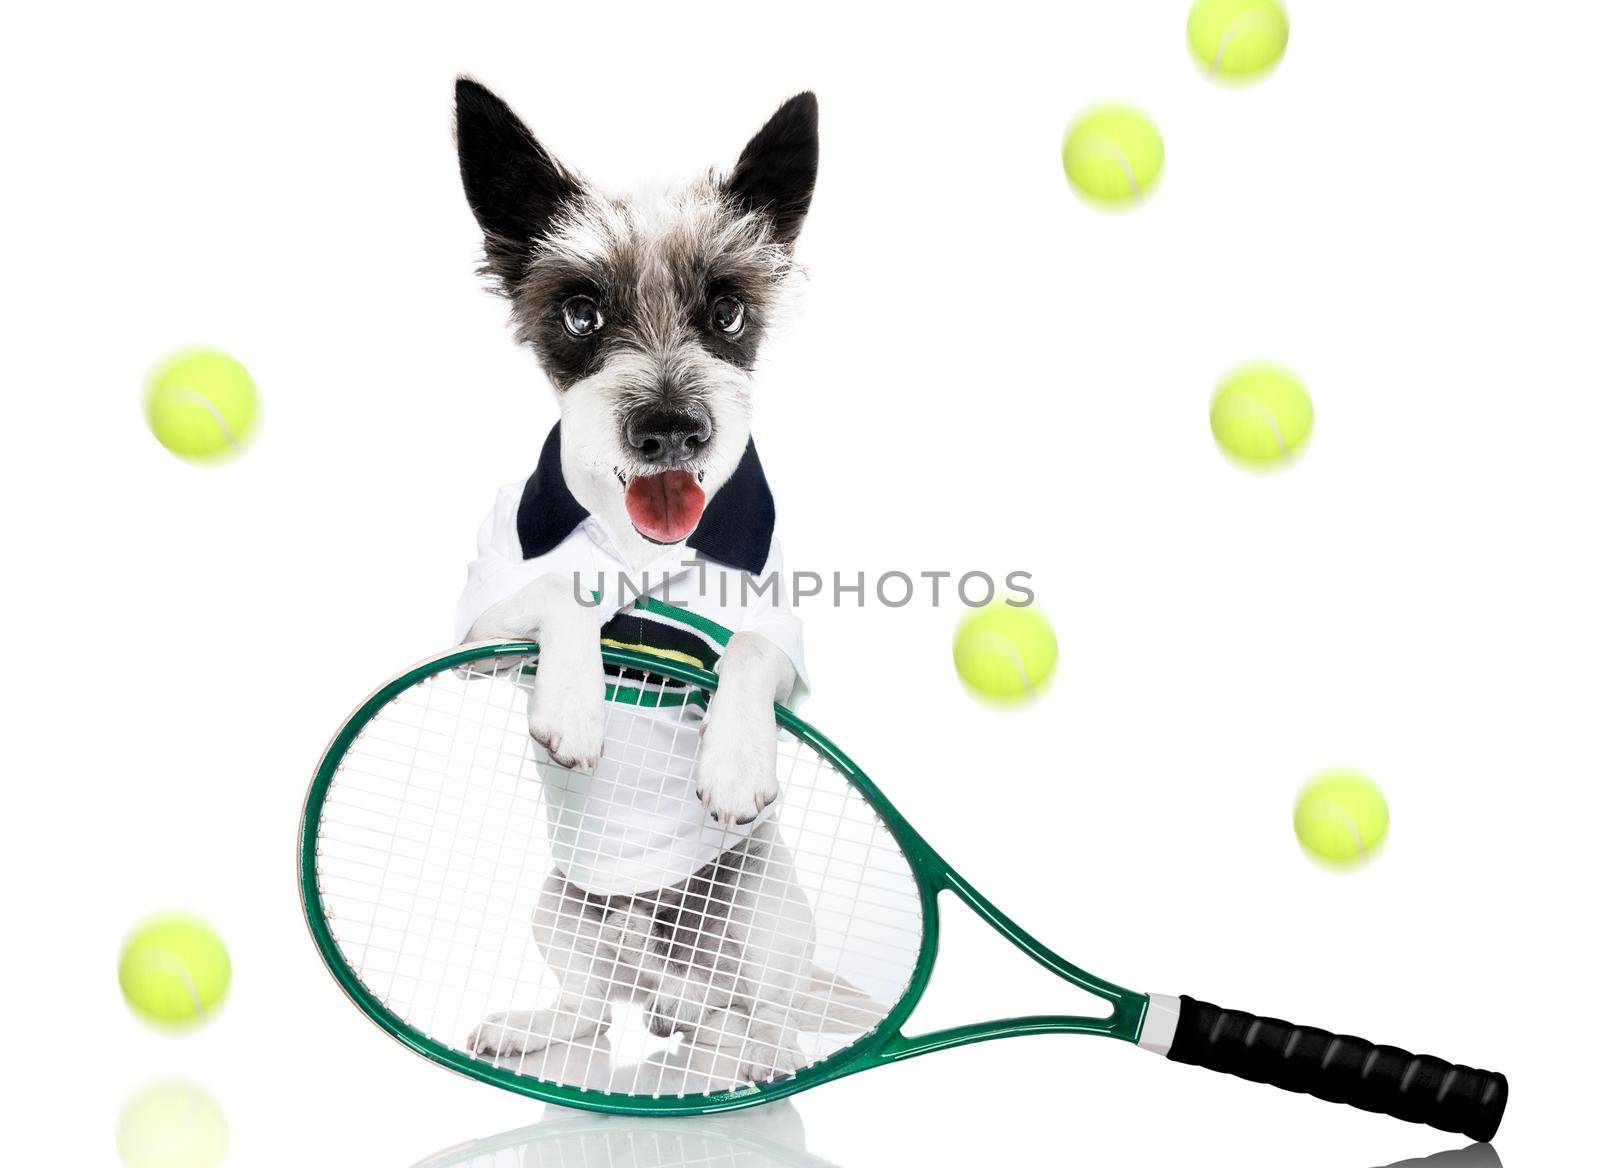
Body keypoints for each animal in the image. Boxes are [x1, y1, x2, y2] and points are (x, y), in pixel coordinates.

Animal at [444, 79, 883, 1081]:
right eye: (581, 313)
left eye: (727, 312)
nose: (674, 430)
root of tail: (672, 983)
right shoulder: (475, 634)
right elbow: (559, 595)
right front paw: (574, 703)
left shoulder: (785, 642)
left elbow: (753, 648)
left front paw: (733, 761)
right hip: (562, 905)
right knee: (598, 1010)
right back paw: (542, 1026)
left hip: (758, 908)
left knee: (768, 1032)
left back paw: (726, 1062)